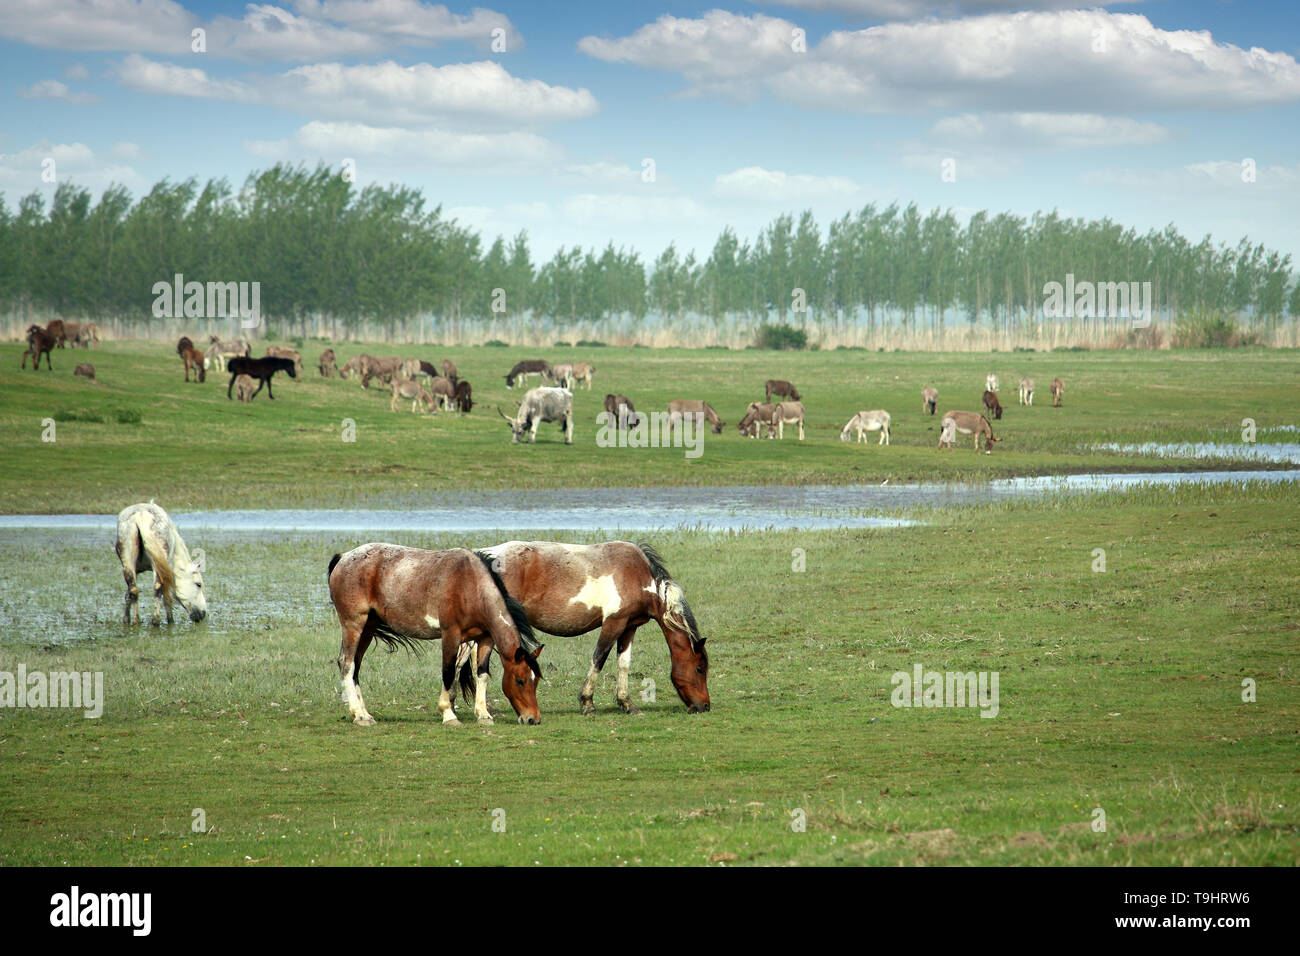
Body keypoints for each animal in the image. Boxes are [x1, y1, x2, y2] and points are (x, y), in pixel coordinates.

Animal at [327, 545, 544, 726]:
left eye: (536, 681)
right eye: (520, 680)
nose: (533, 719)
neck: (470, 584)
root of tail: (344, 557)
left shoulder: (485, 639)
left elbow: (481, 674)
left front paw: (483, 715)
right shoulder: (450, 635)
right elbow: (448, 672)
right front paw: (448, 714)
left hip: (368, 627)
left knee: (356, 667)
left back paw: (364, 713)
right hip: (354, 625)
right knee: (347, 664)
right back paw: (359, 715)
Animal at [480, 541, 710, 714]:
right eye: (700, 668)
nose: (705, 706)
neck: (639, 576)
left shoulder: (629, 626)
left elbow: (623, 663)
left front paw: (627, 703)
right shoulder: (613, 623)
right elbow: (599, 658)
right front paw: (587, 703)